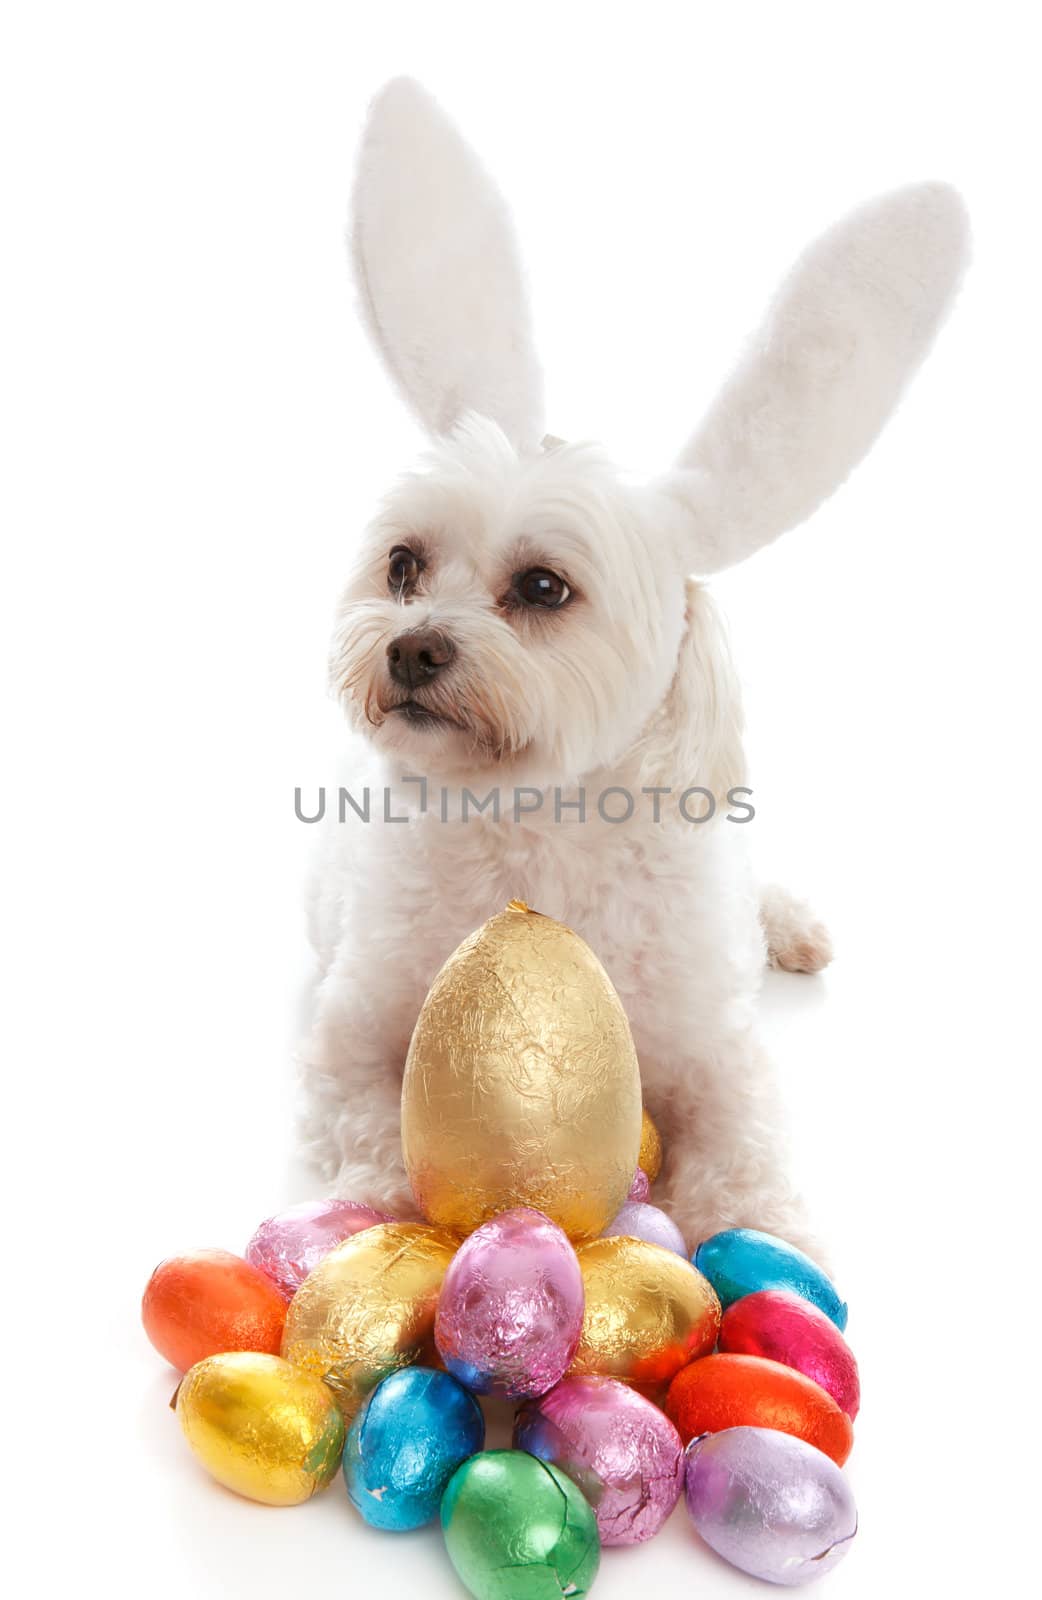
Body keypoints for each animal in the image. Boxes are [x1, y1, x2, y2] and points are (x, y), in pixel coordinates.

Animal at [299, 78, 973, 1248]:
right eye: (404, 564)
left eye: (541, 589)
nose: (412, 644)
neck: (537, 824)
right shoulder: (355, 1018)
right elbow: (363, 1111)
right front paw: (375, 1217)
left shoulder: (716, 1052)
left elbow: (746, 1150)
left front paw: (767, 1243)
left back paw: (788, 925)